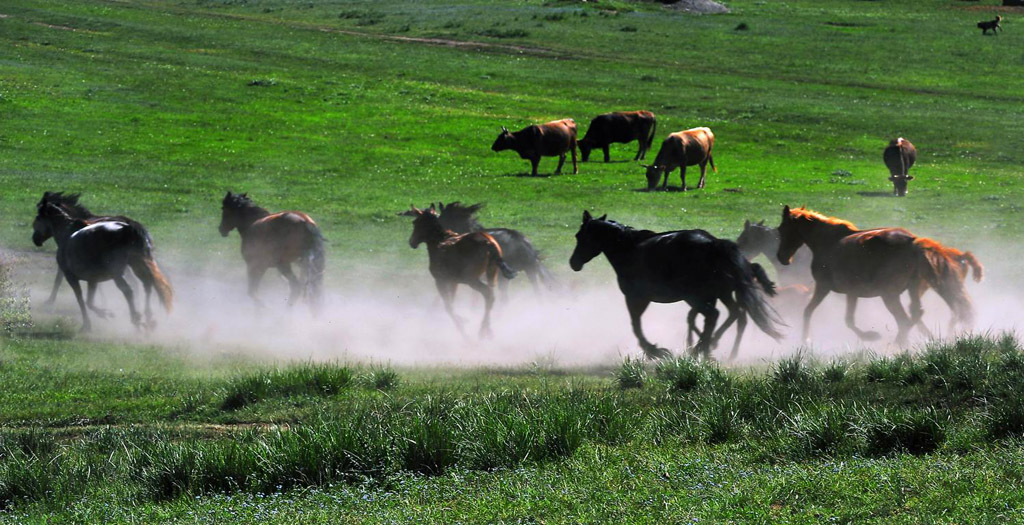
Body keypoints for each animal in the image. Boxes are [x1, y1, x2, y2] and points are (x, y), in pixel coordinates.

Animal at [31, 201, 172, 329]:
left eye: (37, 218)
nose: (35, 239)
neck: (67, 234)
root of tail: (128, 229)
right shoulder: (93, 279)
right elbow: (89, 301)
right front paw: (104, 313)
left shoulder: (71, 276)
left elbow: (80, 298)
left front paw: (88, 324)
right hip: (137, 265)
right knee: (147, 285)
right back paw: (148, 317)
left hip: (117, 272)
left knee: (128, 290)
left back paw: (136, 319)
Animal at [403, 202, 516, 337]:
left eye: (415, 222)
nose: (411, 242)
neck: (439, 242)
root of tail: (489, 243)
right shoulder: (453, 282)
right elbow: (451, 302)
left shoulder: (440, 280)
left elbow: (448, 306)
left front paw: (461, 325)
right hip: (490, 275)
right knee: (491, 297)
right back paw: (488, 329)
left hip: (471, 279)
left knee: (488, 294)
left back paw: (482, 331)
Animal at [569, 209, 782, 360]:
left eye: (579, 236)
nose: (573, 263)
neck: (629, 249)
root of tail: (713, 244)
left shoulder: (636, 298)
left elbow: (636, 325)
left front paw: (654, 351)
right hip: (720, 294)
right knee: (732, 314)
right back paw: (705, 348)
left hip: (696, 296)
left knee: (715, 315)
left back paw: (699, 349)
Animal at [774, 204, 983, 343]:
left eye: (782, 229)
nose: (782, 257)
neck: (827, 242)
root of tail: (913, 242)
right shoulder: (850, 293)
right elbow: (844, 319)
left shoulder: (825, 287)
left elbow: (812, 312)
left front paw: (805, 340)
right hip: (911, 289)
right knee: (915, 313)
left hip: (889, 294)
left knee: (905, 320)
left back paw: (898, 344)